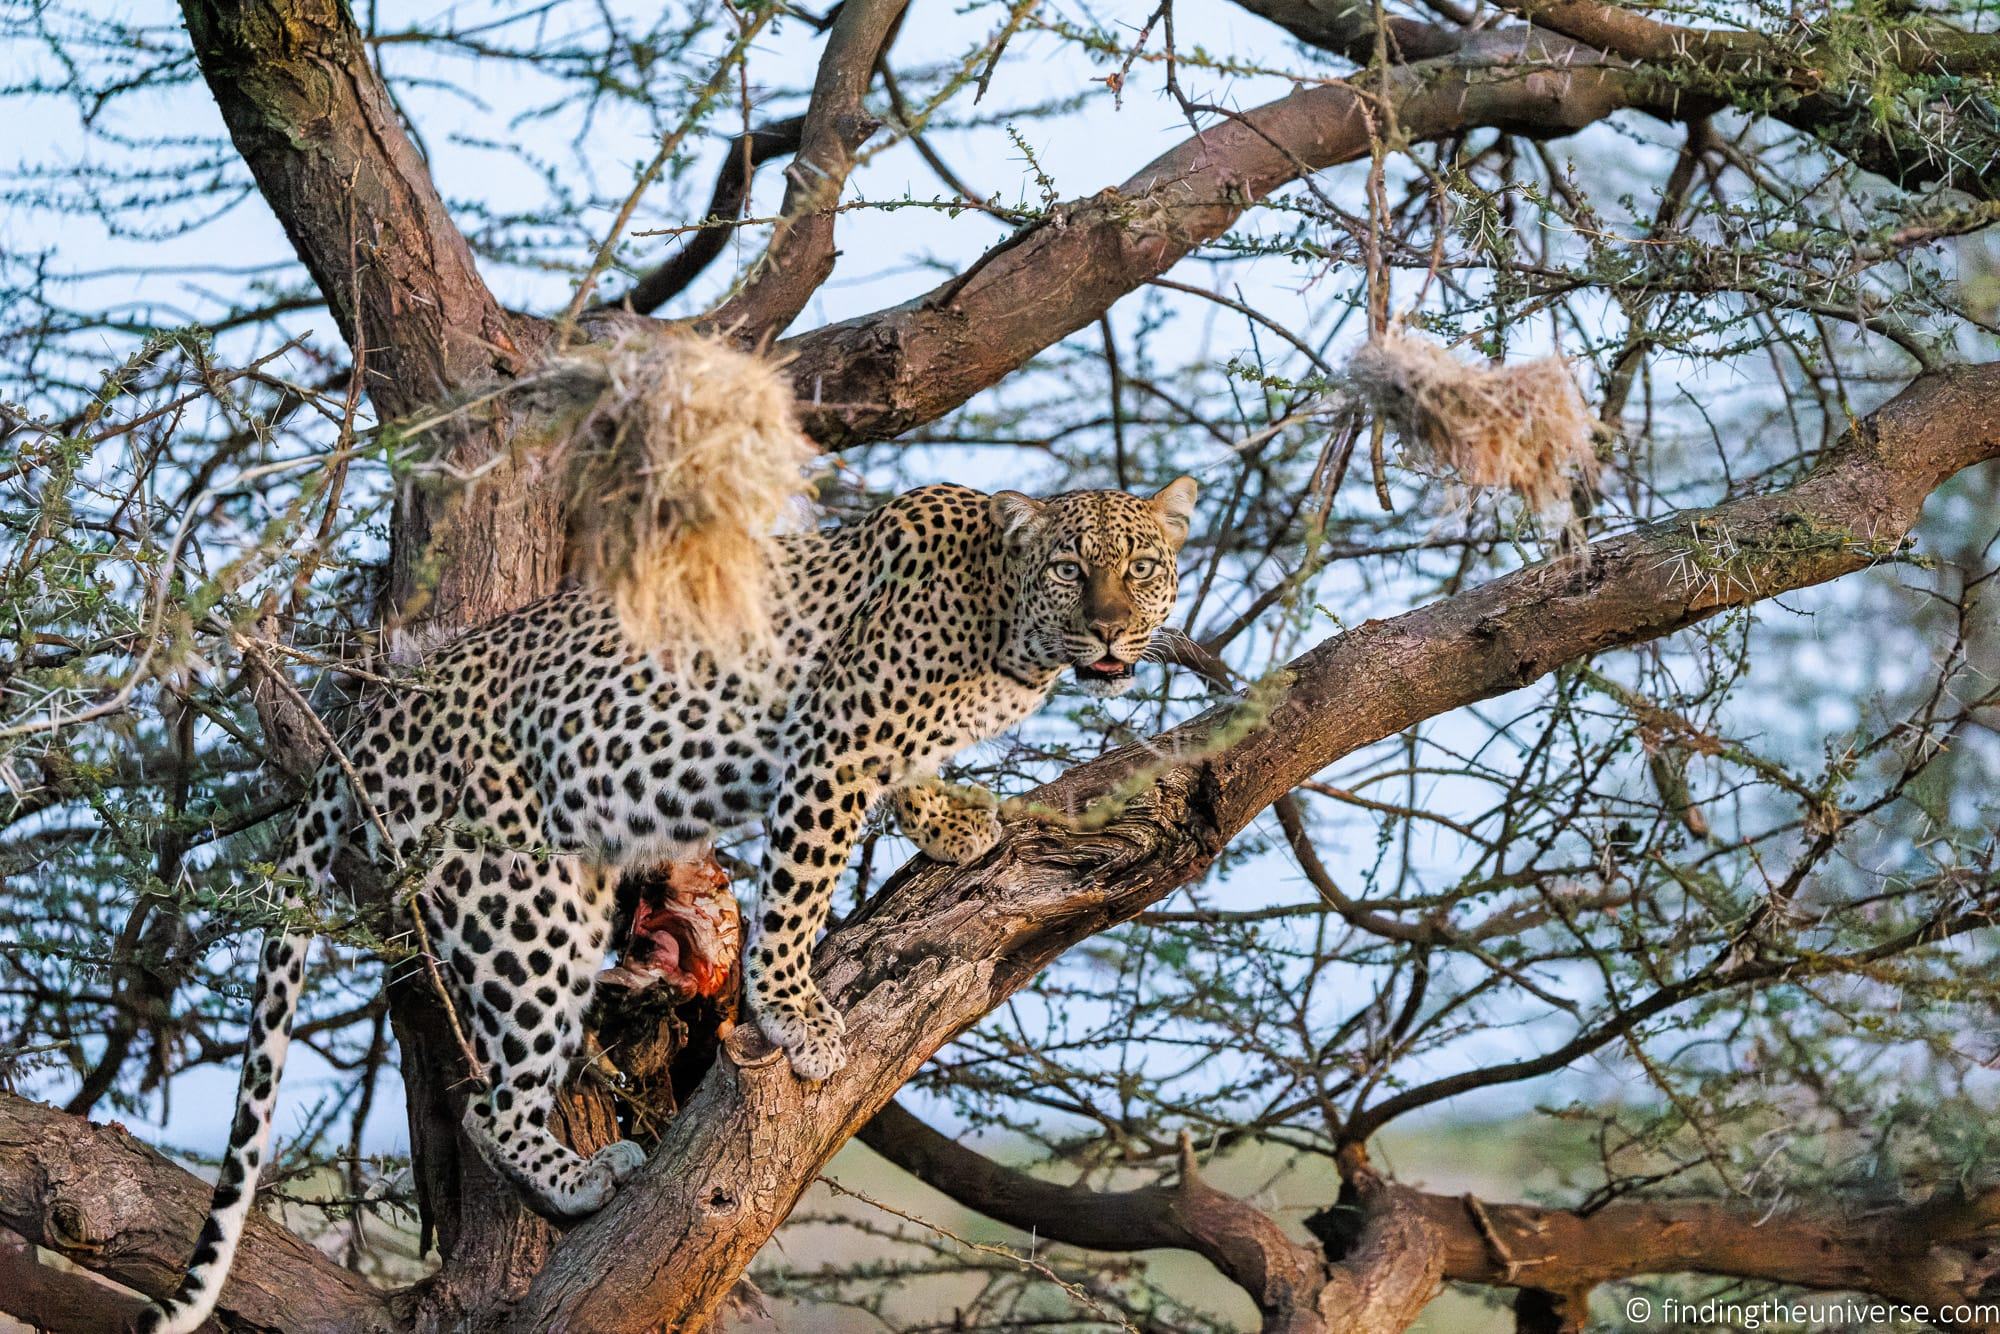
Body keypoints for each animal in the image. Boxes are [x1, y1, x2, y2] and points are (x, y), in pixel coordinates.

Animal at [148, 478, 1200, 1334]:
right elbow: (800, 890)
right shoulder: (830, 746)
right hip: (521, 898)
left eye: (1142, 568)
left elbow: (912, 778)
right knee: (491, 1099)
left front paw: (950, 820)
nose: (1113, 630)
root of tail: (365, 723)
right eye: (1071, 568)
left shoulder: (877, 744)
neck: (1004, 627)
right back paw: (582, 1178)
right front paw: (797, 1013)